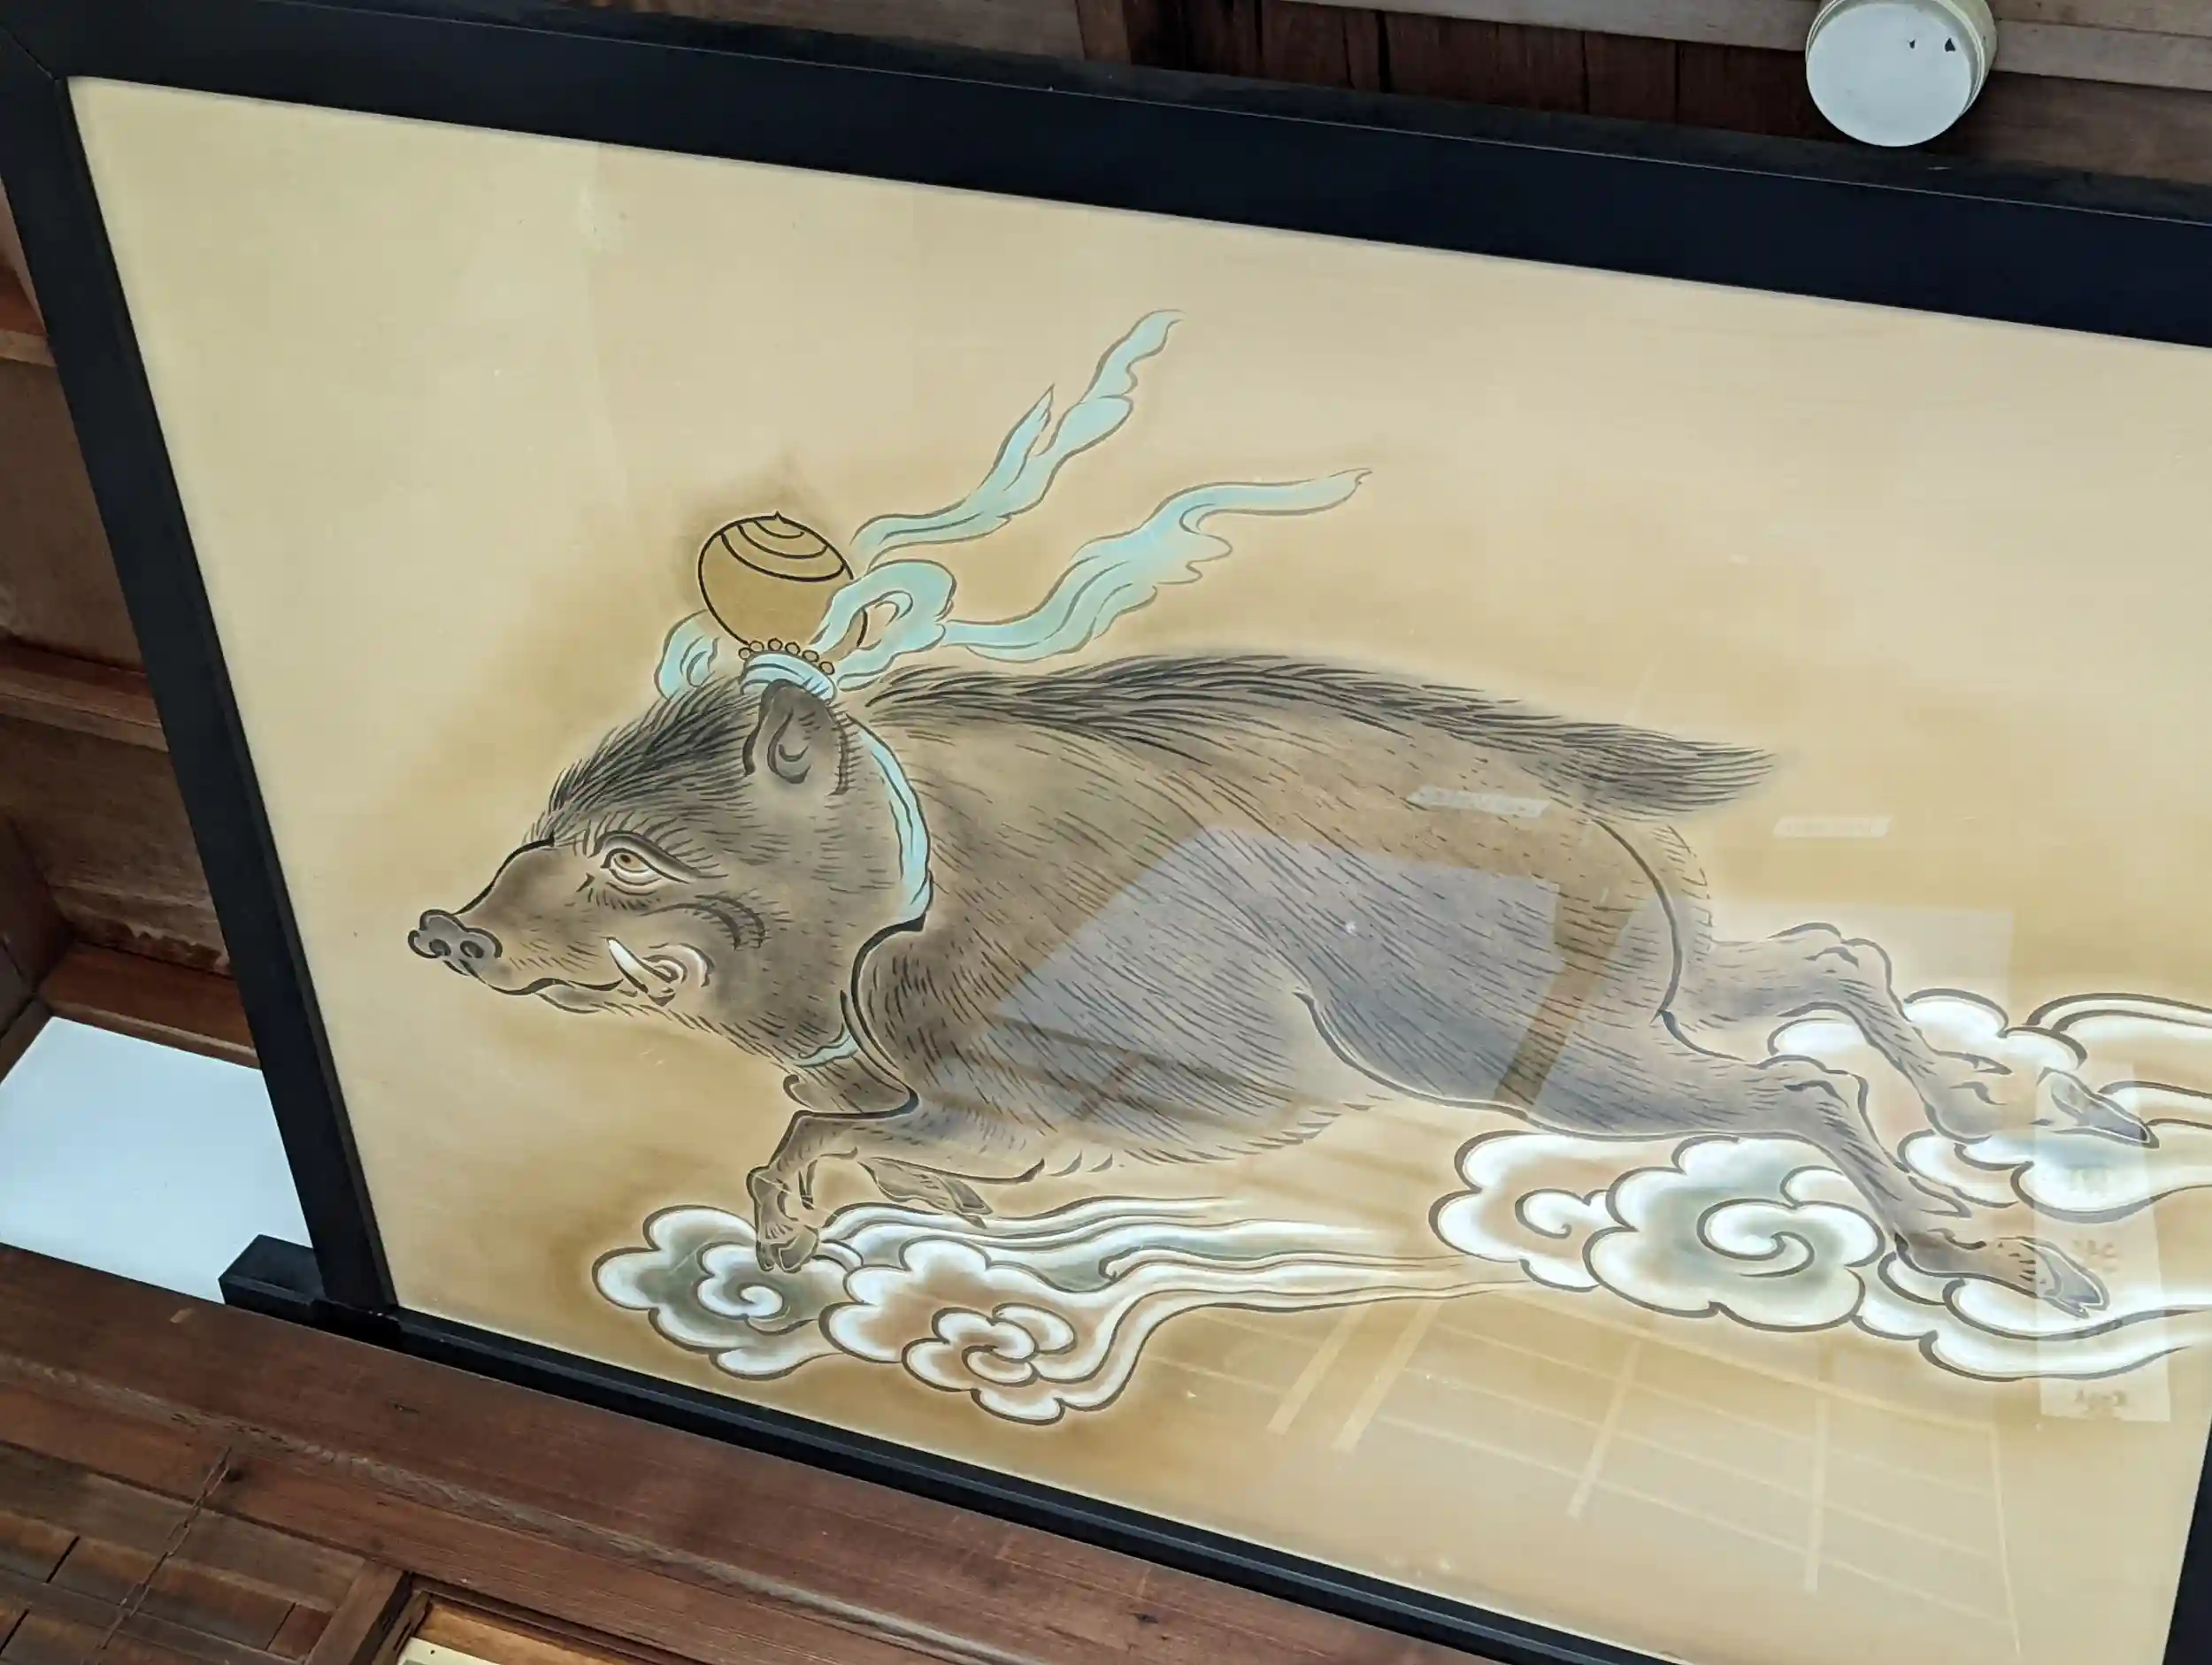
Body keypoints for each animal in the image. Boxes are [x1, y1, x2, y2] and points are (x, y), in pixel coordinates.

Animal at [412, 653, 2142, 1310]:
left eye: (635, 857)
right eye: (546, 827)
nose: (441, 930)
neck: (887, 905)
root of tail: (1582, 808)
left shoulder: (1041, 1099)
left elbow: (823, 1134)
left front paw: (798, 1241)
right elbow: (826, 1125)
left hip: (1529, 1057)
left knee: (1800, 1077)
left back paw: (2017, 1264)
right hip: (1660, 984)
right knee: (1838, 964)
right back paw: (2049, 1124)